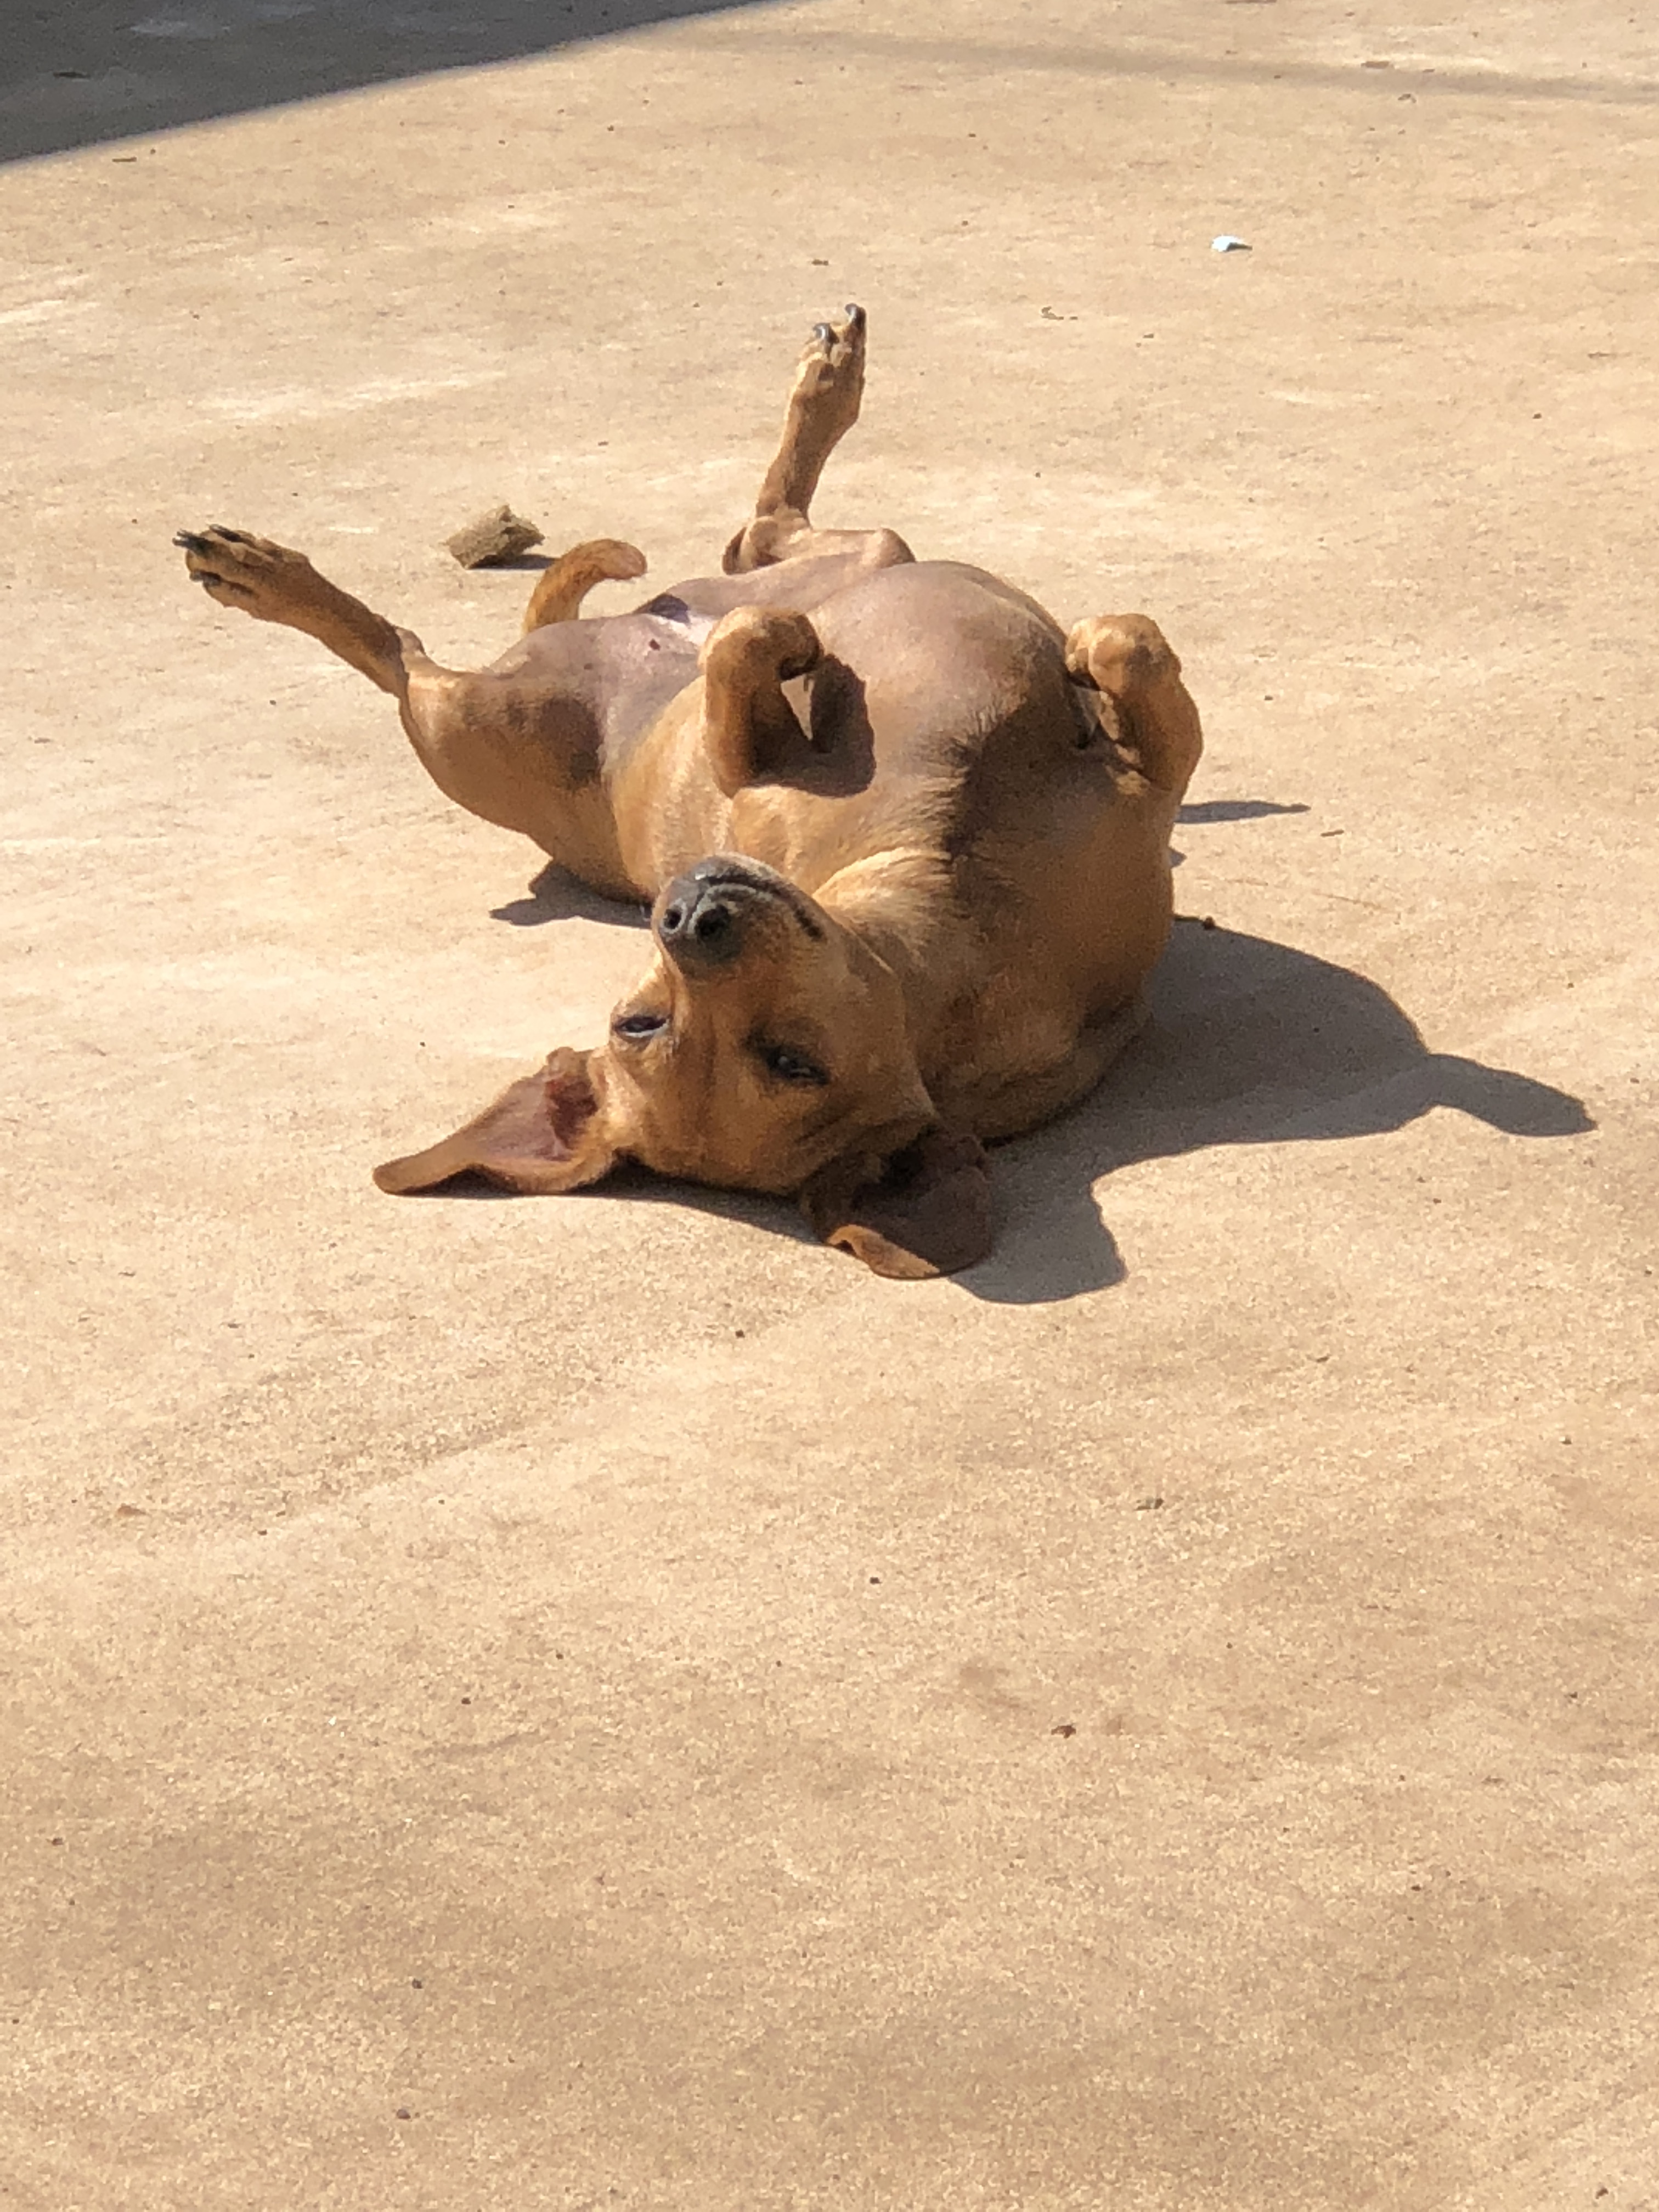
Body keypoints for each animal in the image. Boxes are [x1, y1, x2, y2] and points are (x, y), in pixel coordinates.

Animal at [176, 312, 1203, 1283]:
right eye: (644, 1024)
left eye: (790, 1059)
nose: (688, 914)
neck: (947, 870)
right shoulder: (742, 760)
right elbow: (750, 652)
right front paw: (795, 647)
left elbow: (1126, 652)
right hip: (462, 724)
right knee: (402, 653)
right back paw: (264, 578)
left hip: (849, 557)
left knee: (762, 535)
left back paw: (828, 384)